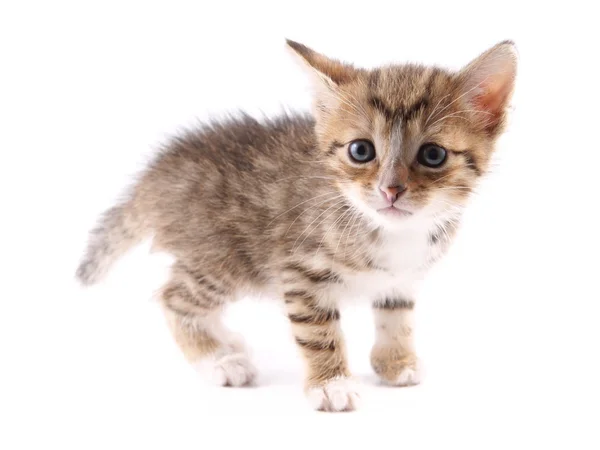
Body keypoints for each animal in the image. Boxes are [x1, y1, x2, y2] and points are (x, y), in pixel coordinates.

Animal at [75, 38, 516, 412]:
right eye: (361, 151)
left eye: (433, 155)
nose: (390, 189)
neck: (391, 231)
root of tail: (157, 174)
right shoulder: (301, 271)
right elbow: (318, 332)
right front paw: (332, 384)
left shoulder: (403, 276)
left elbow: (396, 315)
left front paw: (395, 361)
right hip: (222, 261)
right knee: (173, 295)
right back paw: (217, 359)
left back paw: (226, 341)